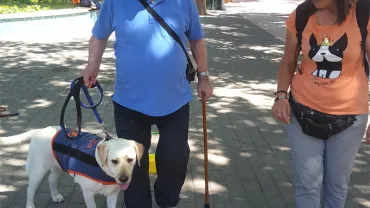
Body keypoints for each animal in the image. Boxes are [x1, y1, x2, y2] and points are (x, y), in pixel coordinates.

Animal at [0, 125, 144, 208]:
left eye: (130, 160)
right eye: (114, 161)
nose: (124, 179)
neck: (104, 170)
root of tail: (39, 130)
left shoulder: (113, 195)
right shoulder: (88, 193)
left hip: (58, 167)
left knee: (51, 180)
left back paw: (55, 196)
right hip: (38, 169)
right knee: (30, 189)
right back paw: (30, 205)